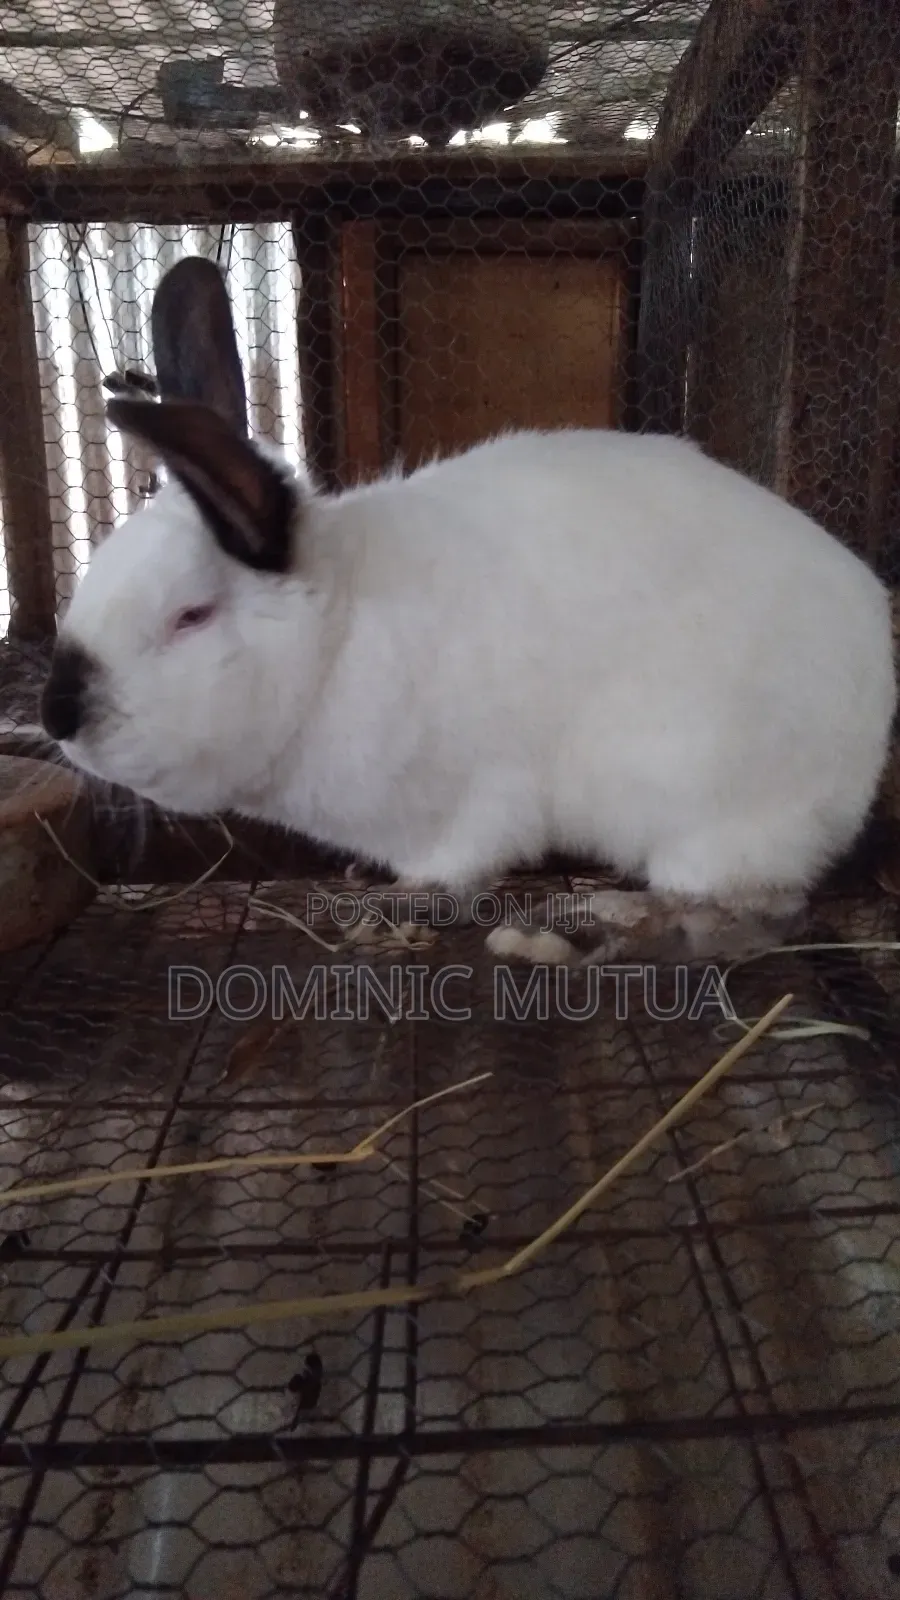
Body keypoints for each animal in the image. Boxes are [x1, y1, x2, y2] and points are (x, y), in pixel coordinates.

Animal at [40, 255, 897, 965]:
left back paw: (594, 928)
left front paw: (392, 908)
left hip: (711, 806)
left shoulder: (471, 805)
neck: (338, 641)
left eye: (190, 616)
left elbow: (456, 869)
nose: (57, 715)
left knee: (749, 913)